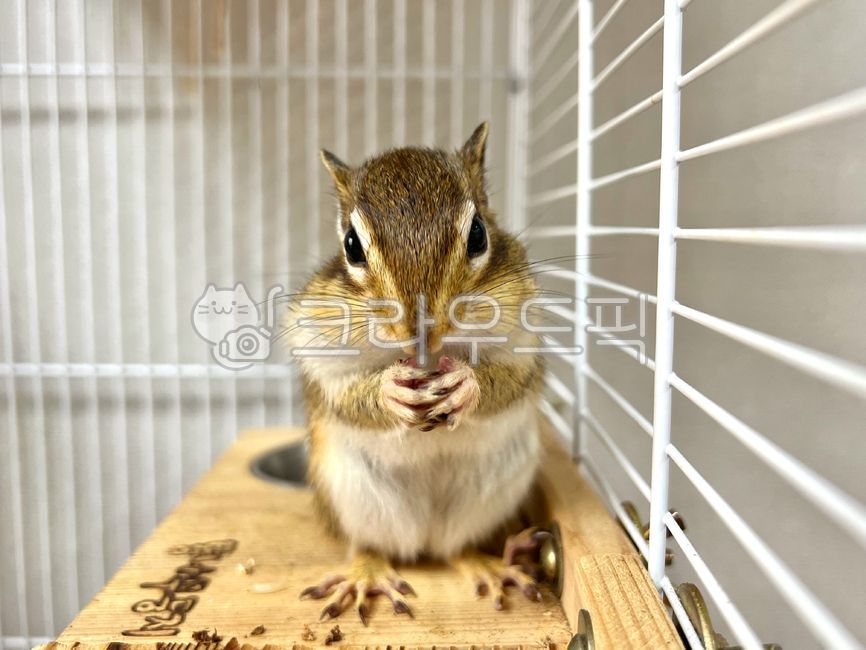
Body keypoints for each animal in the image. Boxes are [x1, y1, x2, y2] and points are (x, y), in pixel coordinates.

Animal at [284, 123, 550, 624]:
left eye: (478, 235)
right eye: (351, 245)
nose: (421, 331)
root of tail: (424, 538)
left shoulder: (526, 344)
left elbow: (507, 382)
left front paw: (465, 385)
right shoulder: (319, 351)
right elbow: (345, 396)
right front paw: (391, 392)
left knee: (456, 547)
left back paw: (490, 565)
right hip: (352, 495)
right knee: (373, 545)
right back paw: (365, 576)